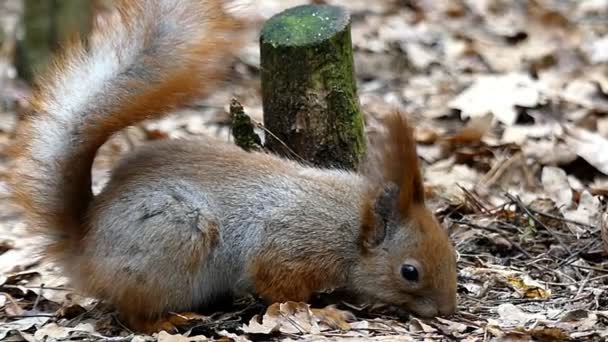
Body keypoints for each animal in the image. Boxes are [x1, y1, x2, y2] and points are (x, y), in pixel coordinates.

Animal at [10, 0, 456, 334]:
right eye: (410, 271)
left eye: (452, 252)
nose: (448, 309)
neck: (352, 225)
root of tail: (83, 247)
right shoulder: (290, 246)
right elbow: (280, 289)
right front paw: (326, 312)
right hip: (172, 238)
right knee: (132, 312)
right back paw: (170, 320)